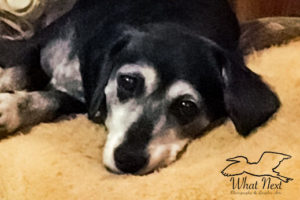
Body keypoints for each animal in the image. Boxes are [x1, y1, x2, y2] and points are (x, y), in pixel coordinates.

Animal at [0, 0, 280, 174]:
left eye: (187, 106)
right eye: (127, 82)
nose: (128, 160)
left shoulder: (83, 99)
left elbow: (50, 100)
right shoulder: (37, 44)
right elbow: (19, 71)